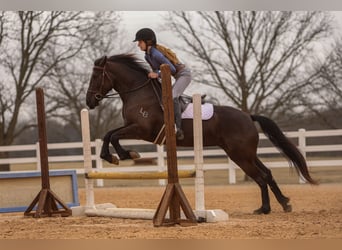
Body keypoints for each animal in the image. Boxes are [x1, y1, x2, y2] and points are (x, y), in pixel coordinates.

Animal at [86, 54, 318, 215]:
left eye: (96, 76)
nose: (89, 102)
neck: (138, 93)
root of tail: (247, 115)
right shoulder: (132, 127)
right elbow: (109, 134)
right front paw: (112, 156)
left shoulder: (142, 130)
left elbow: (113, 136)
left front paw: (124, 155)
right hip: (246, 154)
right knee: (267, 173)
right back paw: (282, 204)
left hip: (240, 155)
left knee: (260, 177)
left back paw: (267, 208)